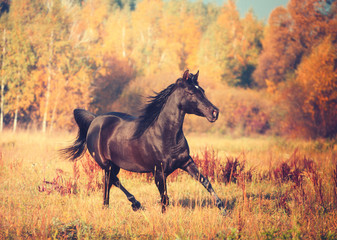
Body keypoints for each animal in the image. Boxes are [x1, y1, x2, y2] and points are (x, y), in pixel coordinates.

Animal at [63, 70, 224, 213]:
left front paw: (222, 208)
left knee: (109, 182)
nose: (215, 112)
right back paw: (136, 204)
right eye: (191, 92)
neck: (164, 134)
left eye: (202, 90)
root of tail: (95, 120)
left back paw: (107, 207)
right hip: (105, 163)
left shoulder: (186, 162)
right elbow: (165, 198)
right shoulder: (158, 172)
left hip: (114, 165)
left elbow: (205, 181)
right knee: (114, 180)